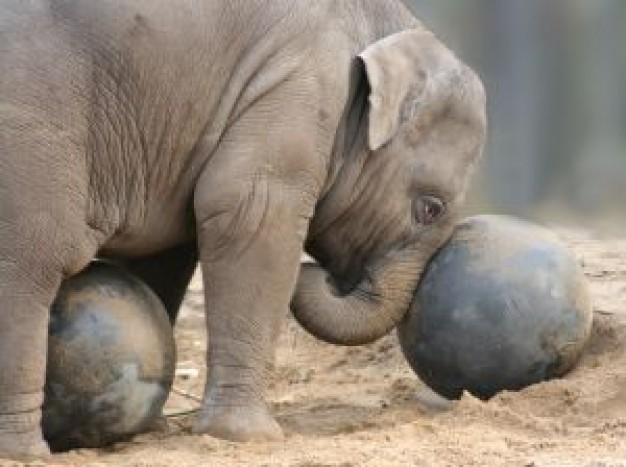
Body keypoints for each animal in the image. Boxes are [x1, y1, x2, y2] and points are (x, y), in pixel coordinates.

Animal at [0, 0, 486, 460]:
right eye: (430, 208)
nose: (319, 273)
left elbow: (165, 254)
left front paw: (155, 430)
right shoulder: (299, 90)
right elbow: (252, 217)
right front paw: (248, 436)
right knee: (30, 265)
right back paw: (25, 453)